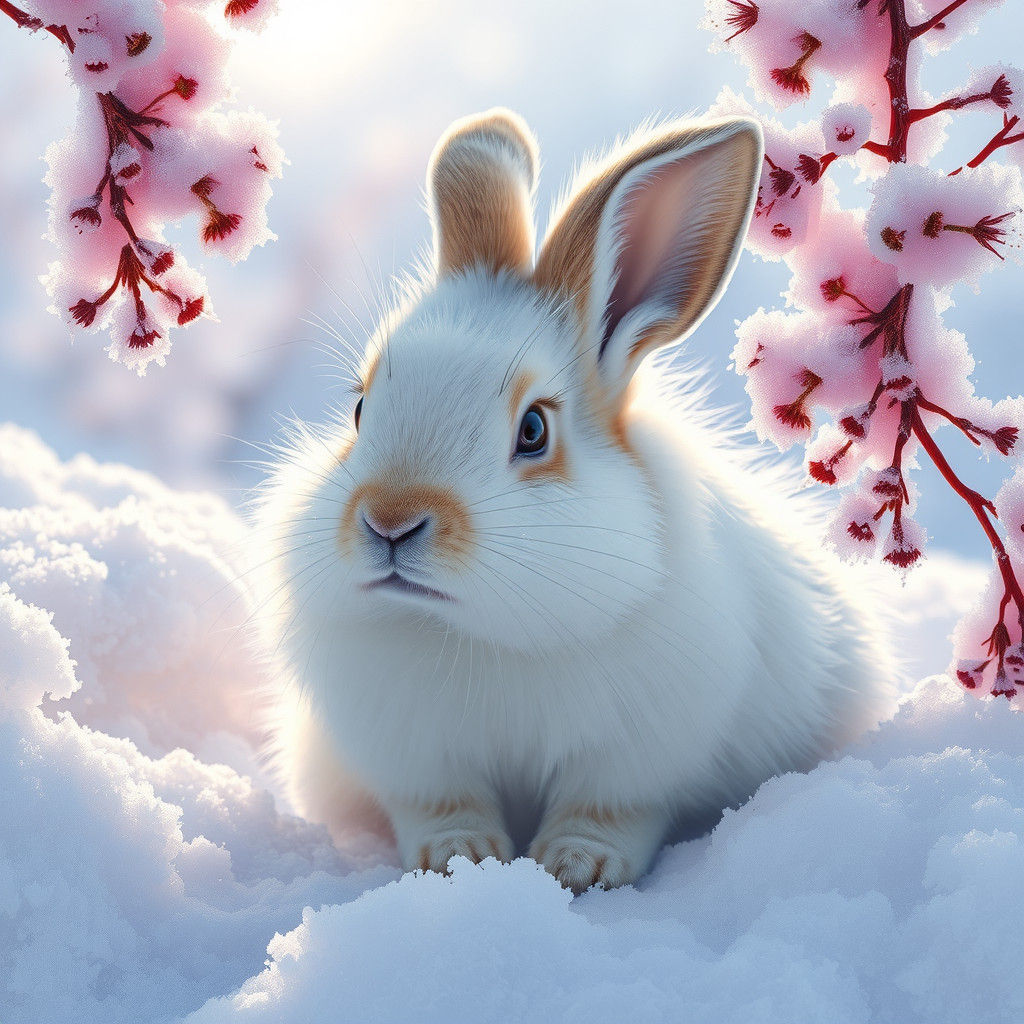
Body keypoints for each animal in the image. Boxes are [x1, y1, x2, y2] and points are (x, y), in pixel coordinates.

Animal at [256, 108, 896, 894]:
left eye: (533, 431)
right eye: (358, 410)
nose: (390, 523)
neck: (477, 633)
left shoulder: (638, 756)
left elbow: (610, 810)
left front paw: (577, 868)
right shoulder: (415, 759)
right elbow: (441, 808)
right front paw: (461, 858)